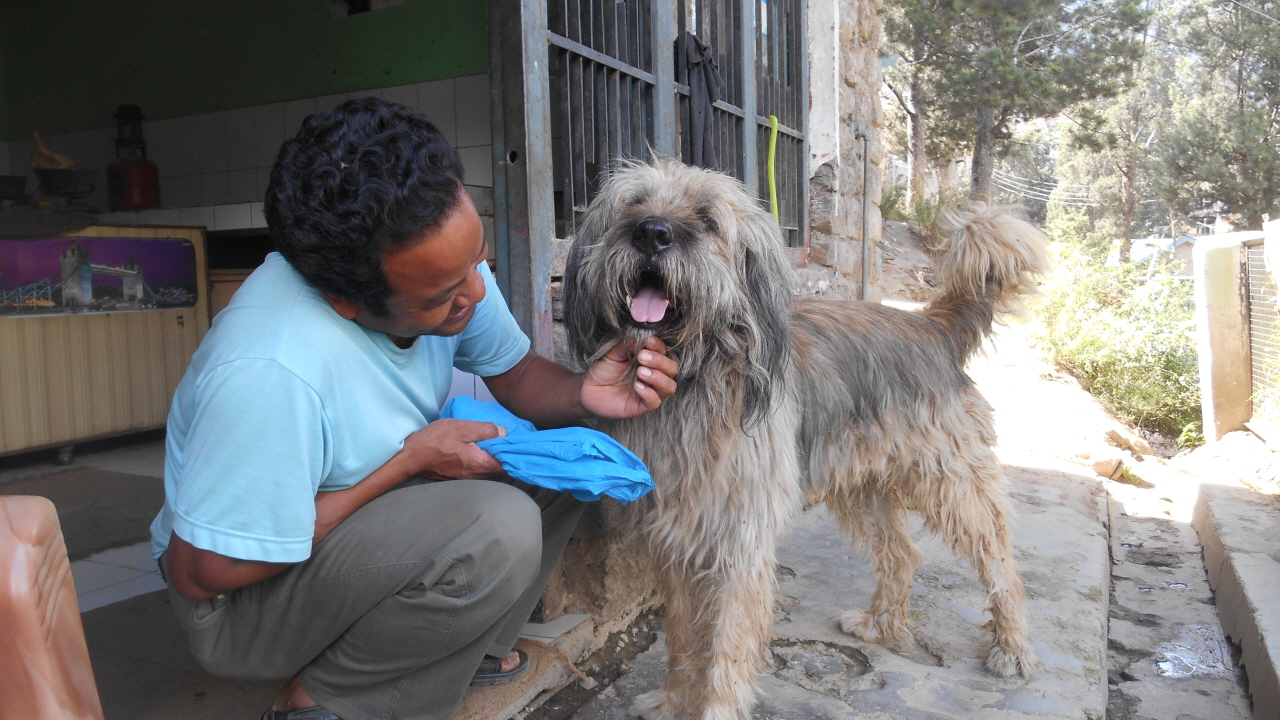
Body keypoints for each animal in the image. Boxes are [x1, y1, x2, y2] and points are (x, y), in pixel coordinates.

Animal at [565, 158, 1044, 717]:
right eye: (634, 204)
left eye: (707, 219)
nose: (651, 232)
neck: (695, 374)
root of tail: (933, 329)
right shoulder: (677, 539)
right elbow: (683, 633)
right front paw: (674, 699)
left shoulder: (738, 544)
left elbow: (725, 647)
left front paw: (712, 707)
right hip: (862, 486)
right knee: (904, 554)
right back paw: (880, 625)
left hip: (953, 481)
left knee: (1000, 561)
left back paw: (1012, 646)